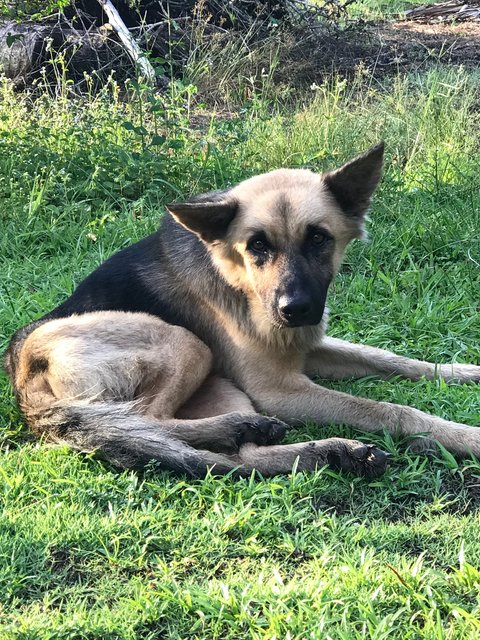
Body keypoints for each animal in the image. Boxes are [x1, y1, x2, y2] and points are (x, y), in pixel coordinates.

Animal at [4, 144, 480, 476]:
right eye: (257, 246)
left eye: (319, 238)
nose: (294, 310)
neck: (240, 282)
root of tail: (23, 372)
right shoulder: (279, 389)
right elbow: (389, 409)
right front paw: (464, 435)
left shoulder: (310, 347)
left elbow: (392, 359)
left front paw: (461, 372)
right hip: (185, 344)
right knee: (149, 421)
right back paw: (264, 434)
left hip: (221, 387)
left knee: (237, 459)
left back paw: (325, 452)